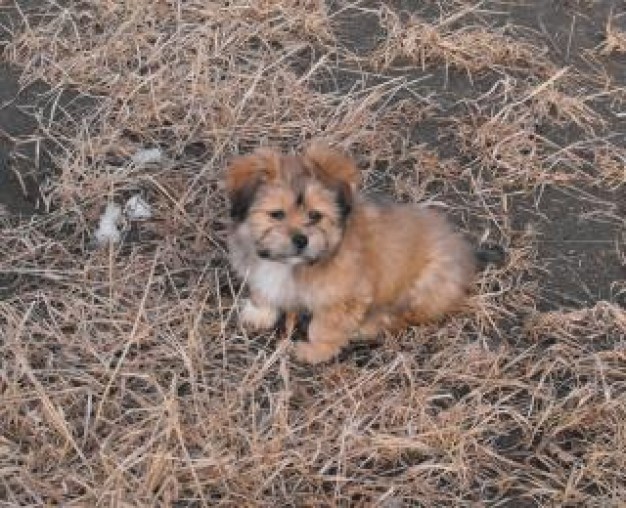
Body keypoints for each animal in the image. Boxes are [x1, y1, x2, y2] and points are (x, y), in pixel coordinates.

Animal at [224, 145, 472, 364]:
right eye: (276, 214)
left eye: (315, 215)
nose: (301, 240)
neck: (291, 264)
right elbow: (263, 291)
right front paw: (259, 314)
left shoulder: (345, 296)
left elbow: (323, 326)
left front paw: (314, 351)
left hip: (427, 283)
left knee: (404, 315)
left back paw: (368, 326)